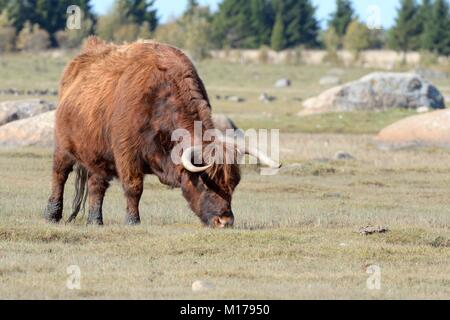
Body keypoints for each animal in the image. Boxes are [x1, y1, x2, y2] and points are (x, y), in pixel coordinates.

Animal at [44, 37, 280, 228]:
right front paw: (133, 221)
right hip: (63, 149)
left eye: (233, 184)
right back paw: (51, 214)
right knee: (59, 175)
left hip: (97, 157)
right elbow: (134, 188)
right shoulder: (127, 155)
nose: (225, 221)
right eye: (206, 183)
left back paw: (95, 220)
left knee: (96, 185)